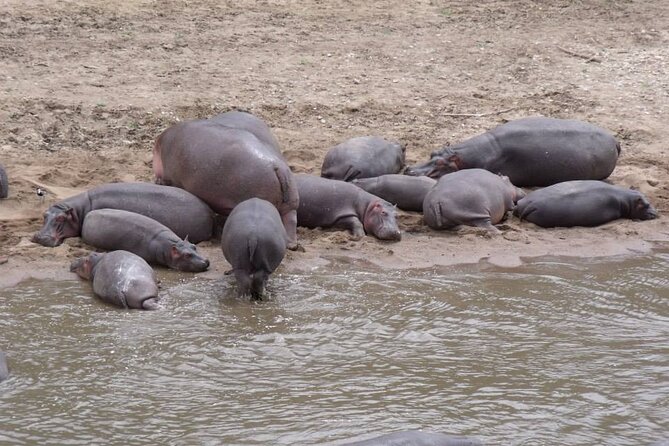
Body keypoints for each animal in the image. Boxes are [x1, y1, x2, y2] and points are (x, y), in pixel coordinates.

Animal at [153, 112, 299, 249]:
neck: (161, 144)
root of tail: (277, 166)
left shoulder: (172, 178)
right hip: (291, 203)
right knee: (290, 219)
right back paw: (291, 245)